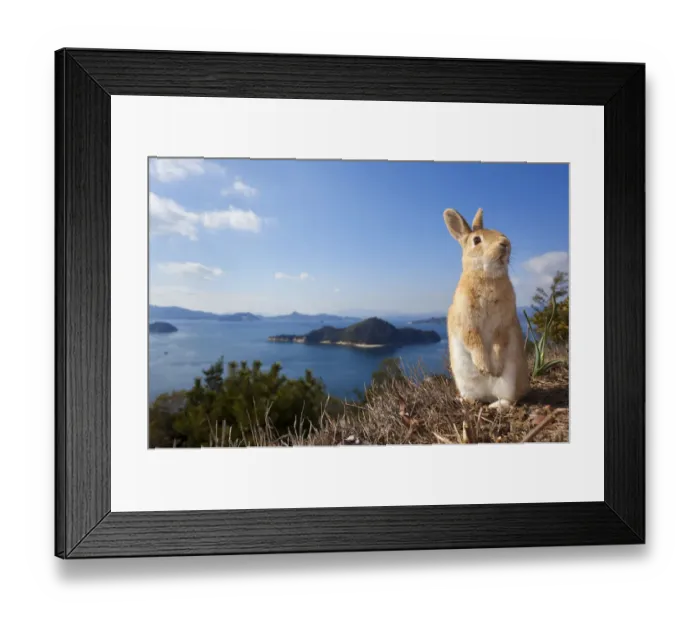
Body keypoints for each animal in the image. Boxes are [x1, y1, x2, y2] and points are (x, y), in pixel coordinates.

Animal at [443, 207, 530, 410]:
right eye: (477, 240)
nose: (505, 243)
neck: (487, 277)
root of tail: (488, 396)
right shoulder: (467, 323)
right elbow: (474, 341)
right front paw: (484, 367)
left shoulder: (503, 324)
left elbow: (498, 342)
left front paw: (494, 369)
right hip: (464, 382)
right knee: (474, 397)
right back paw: (466, 400)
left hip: (510, 381)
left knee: (509, 400)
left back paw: (494, 406)